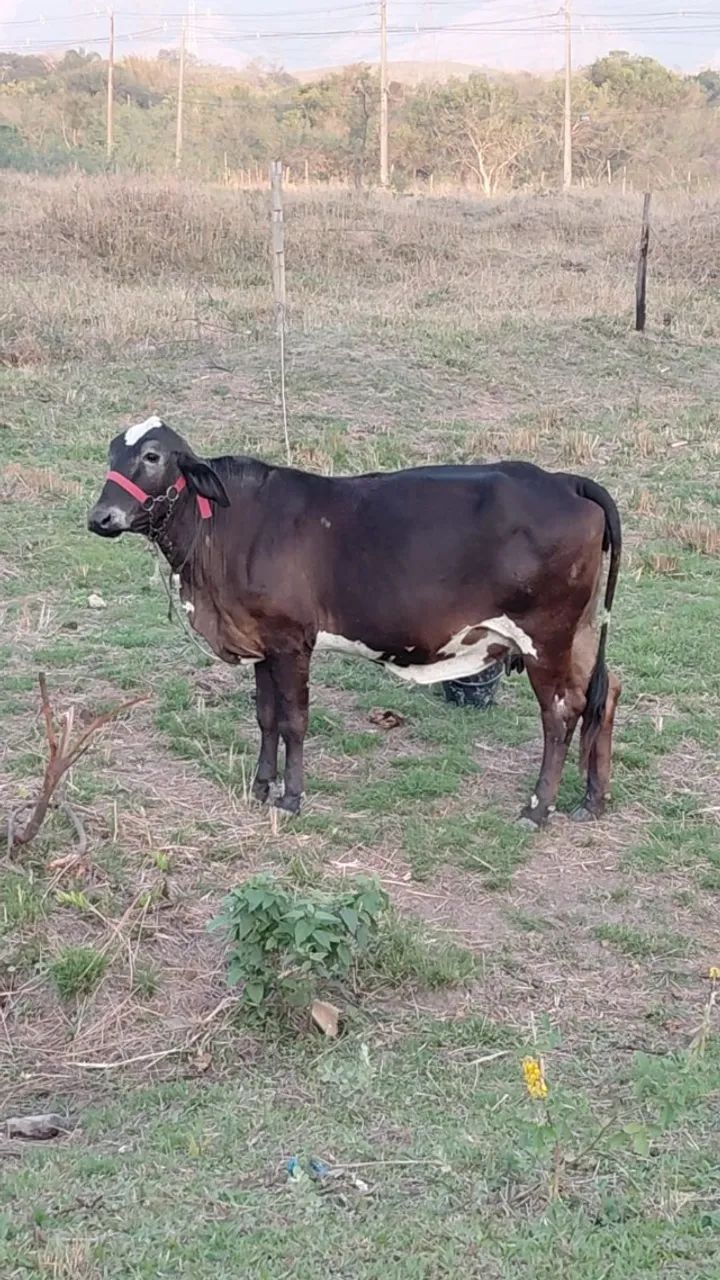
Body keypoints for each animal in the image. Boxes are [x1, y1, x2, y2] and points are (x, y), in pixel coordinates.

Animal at [88, 416, 622, 827]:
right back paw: (592, 799)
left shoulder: (292, 641)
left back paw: (538, 808)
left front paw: (291, 797)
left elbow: (294, 721)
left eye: (152, 456)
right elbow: (265, 717)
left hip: (545, 636)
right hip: (581, 632)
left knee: (560, 713)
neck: (227, 527)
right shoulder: (261, 640)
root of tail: (563, 480)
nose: (101, 517)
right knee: (604, 693)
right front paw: (260, 786)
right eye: (112, 452)